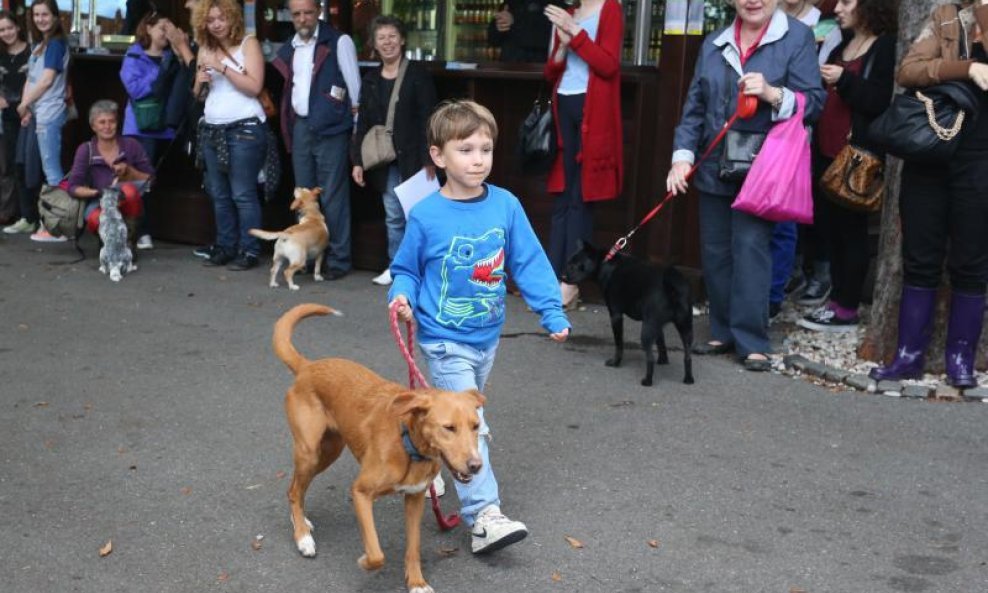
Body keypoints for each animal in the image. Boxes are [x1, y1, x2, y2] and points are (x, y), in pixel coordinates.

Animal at [272, 302, 488, 588]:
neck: (409, 446)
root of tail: (308, 366)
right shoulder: (361, 493)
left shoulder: (414, 499)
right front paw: (365, 562)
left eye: (476, 426)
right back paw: (302, 537)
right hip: (309, 452)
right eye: (448, 428)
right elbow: (376, 554)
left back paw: (302, 522)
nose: (476, 466)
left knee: (295, 489)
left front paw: (417, 583)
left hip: (329, 450)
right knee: (294, 490)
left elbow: (413, 548)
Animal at [564, 240, 696, 384]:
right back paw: (688, 378)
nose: (562, 276)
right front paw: (663, 360)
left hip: (647, 329)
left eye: (574, 265)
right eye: (568, 262)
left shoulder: (616, 315)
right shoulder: (658, 326)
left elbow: (619, 343)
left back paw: (647, 381)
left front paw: (615, 362)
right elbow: (661, 341)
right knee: (688, 356)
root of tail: (672, 283)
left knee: (650, 358)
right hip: (685, 327)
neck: (606, 262)